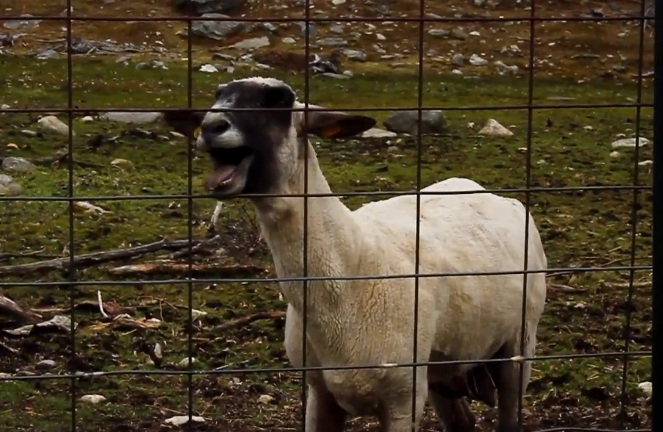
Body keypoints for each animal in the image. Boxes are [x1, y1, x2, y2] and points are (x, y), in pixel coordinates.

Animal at [178, 77, 548, 432]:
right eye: (219, 93)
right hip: (442, 363)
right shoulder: (320, 392)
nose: (211, 126)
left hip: (519, 343)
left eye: (280, 99)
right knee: (461, 423)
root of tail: (491, 193)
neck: (349, 269)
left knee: (510, 414)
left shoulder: (403, 399)